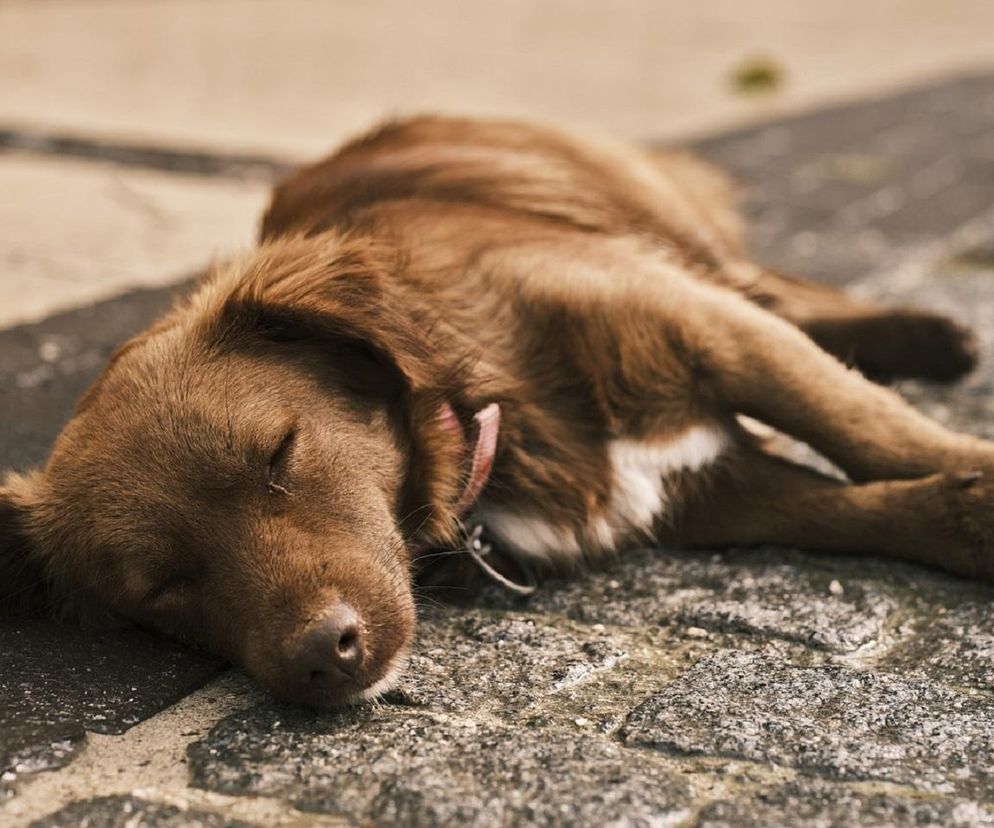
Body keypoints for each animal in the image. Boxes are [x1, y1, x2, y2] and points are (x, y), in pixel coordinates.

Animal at [1, 116, 992, 708]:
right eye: (161, 588)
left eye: (280, 452)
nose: (322, 657)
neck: (488, 411)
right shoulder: (710, 490)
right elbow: (846, 507)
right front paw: (961, 516)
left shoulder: (703, 325)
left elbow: (863, 425)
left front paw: (970, 464)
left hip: (668, 229)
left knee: (776, 287)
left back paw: (926, 335)